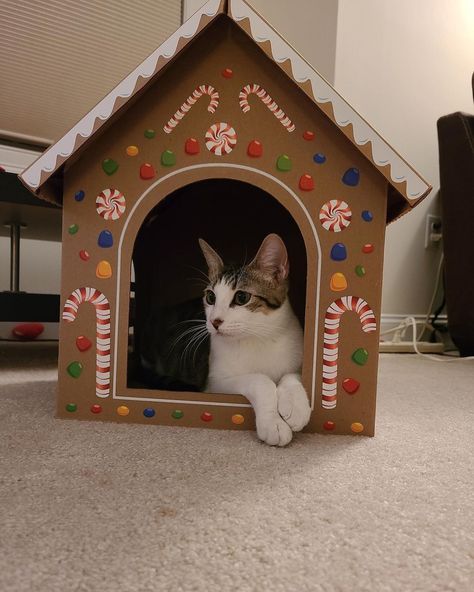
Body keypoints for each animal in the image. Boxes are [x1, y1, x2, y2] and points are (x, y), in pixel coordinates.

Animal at [200, 234, 312, 446]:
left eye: (242, 297)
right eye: (210, 297)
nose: (214, 321)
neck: (258, 337)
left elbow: (292, 375)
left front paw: (295, 406)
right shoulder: (215, 383)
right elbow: (260, 380)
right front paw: (273, 423)